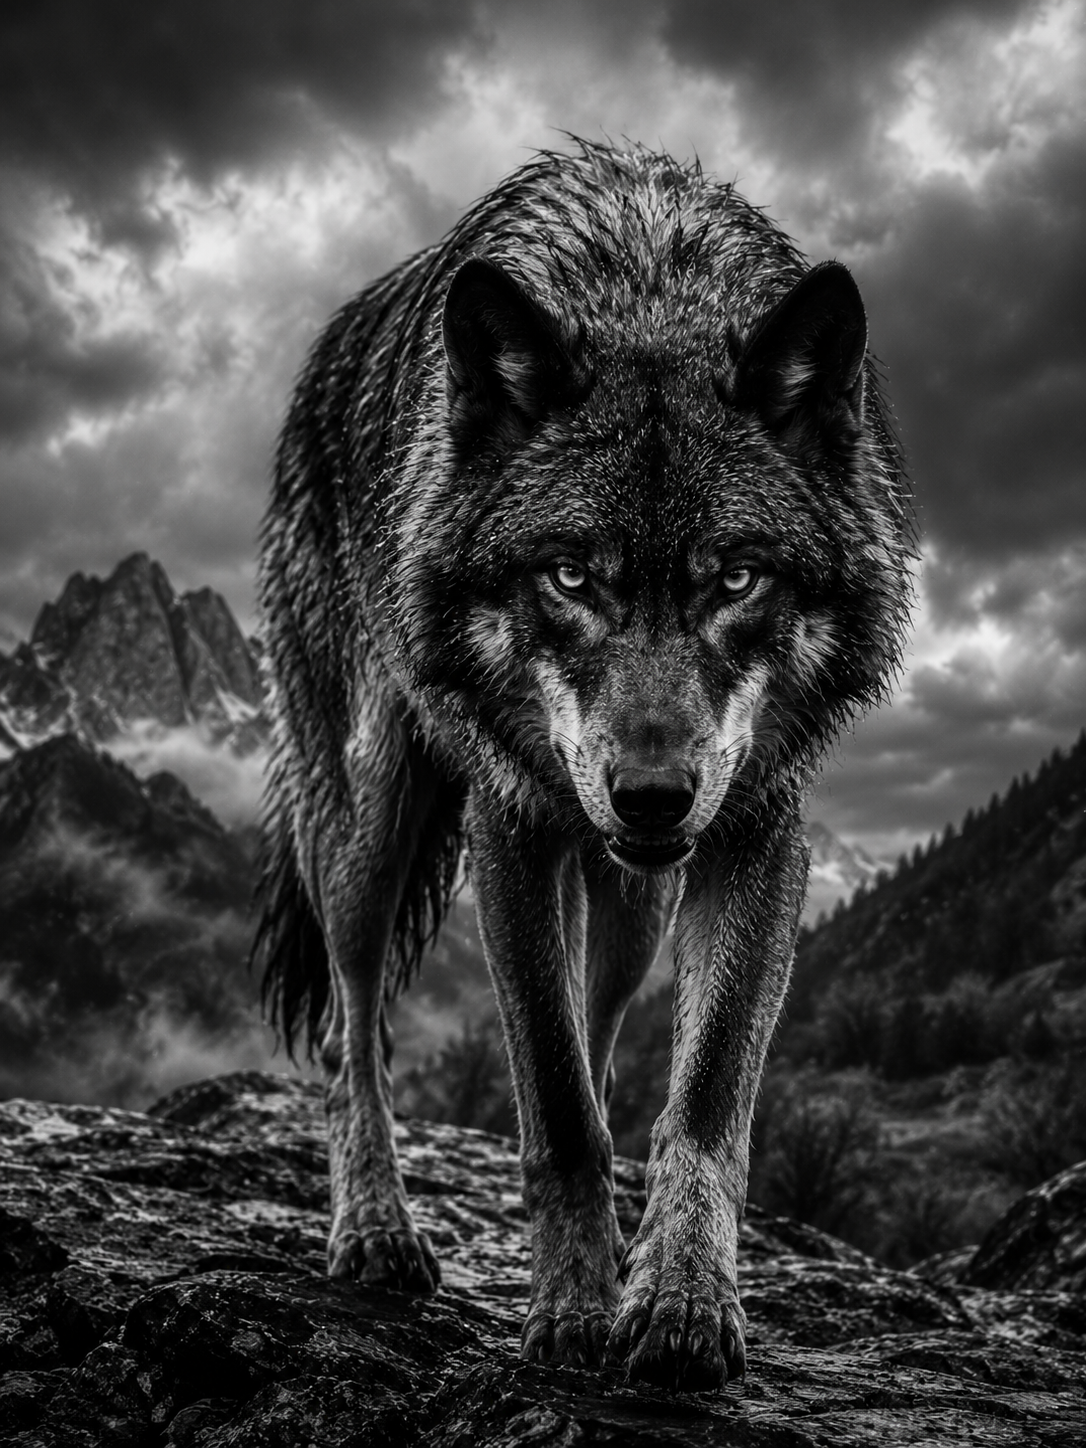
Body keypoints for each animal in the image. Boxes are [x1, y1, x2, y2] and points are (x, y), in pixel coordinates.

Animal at [256, 138, 912, 1392]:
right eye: (570, 575)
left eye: (736, 577)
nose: (650, 795)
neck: (648, 288)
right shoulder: (511, 825)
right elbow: (556, 1106)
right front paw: (569, 1313)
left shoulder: (760, 831)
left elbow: (698, 1098)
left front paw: (681, 1302)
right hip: (369, 820)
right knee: (355, 1026)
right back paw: (375, 1228)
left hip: (636, 898)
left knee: (600, 1026)